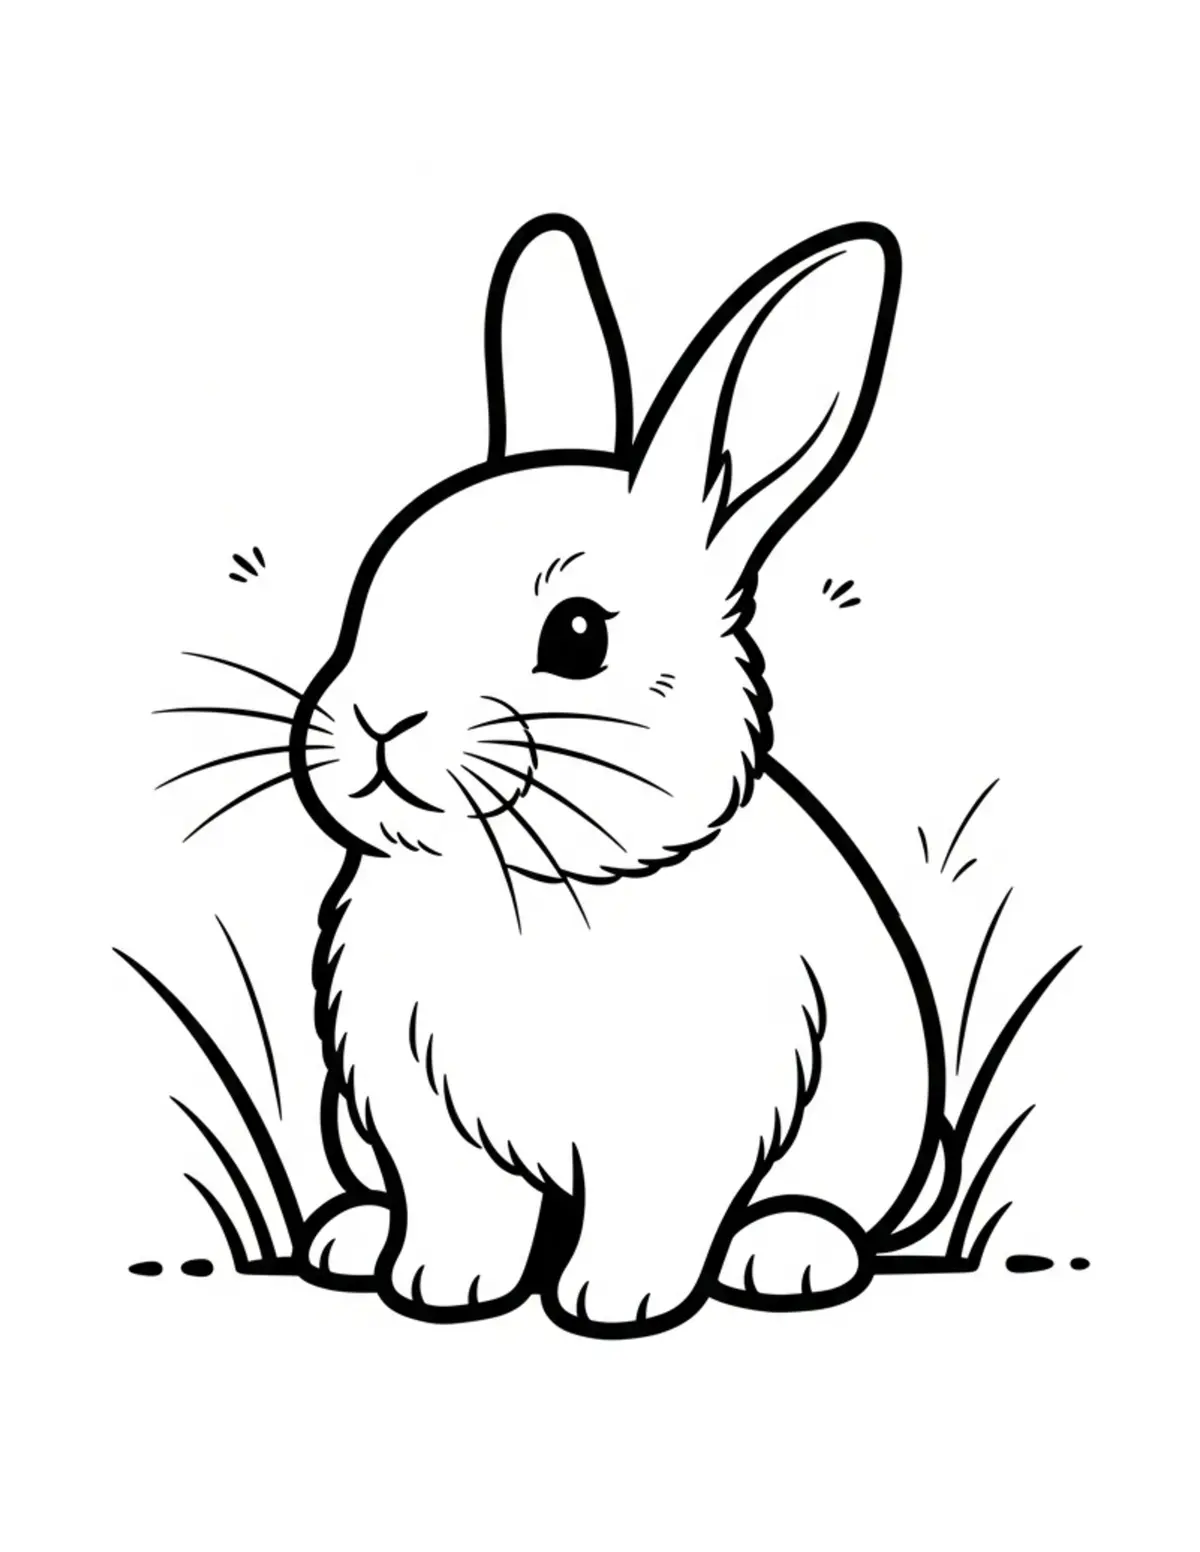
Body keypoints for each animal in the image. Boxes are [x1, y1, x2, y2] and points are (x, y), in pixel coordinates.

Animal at [289, 214, 946, 1336]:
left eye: (578, 634)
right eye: (376, 588)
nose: (377, 723)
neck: (521, 882)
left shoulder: (684, 1122)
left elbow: (654, 1212)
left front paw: (617, 1302)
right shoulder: (419, 1109)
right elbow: (459, 1206)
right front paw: (438, 1285)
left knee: (823, 1202)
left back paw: (788, 1255)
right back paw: (352, 1237)